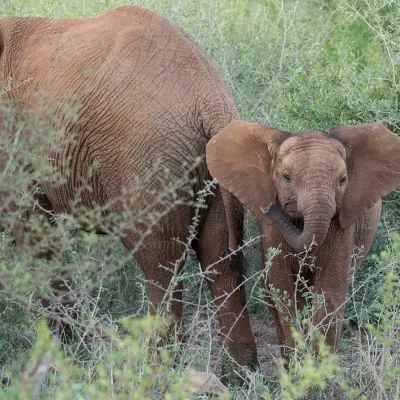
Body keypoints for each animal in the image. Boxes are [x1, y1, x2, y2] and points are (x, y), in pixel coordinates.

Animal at [0, 5, 256, 372]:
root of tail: (211, 101)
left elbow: (31, 229)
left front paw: (62, 349)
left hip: (148, 158)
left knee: (161, 263)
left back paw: (154, 368)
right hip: (215, 172)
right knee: (219, 260)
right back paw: (239, 372)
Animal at [206, 121, 400, 356]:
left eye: (342, 180)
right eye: (286, 177)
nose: (268, 208)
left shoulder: (342, 222)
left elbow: (330, 291)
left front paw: (317, 362)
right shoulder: (272, 230)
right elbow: (281, 287)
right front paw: (299, 357)